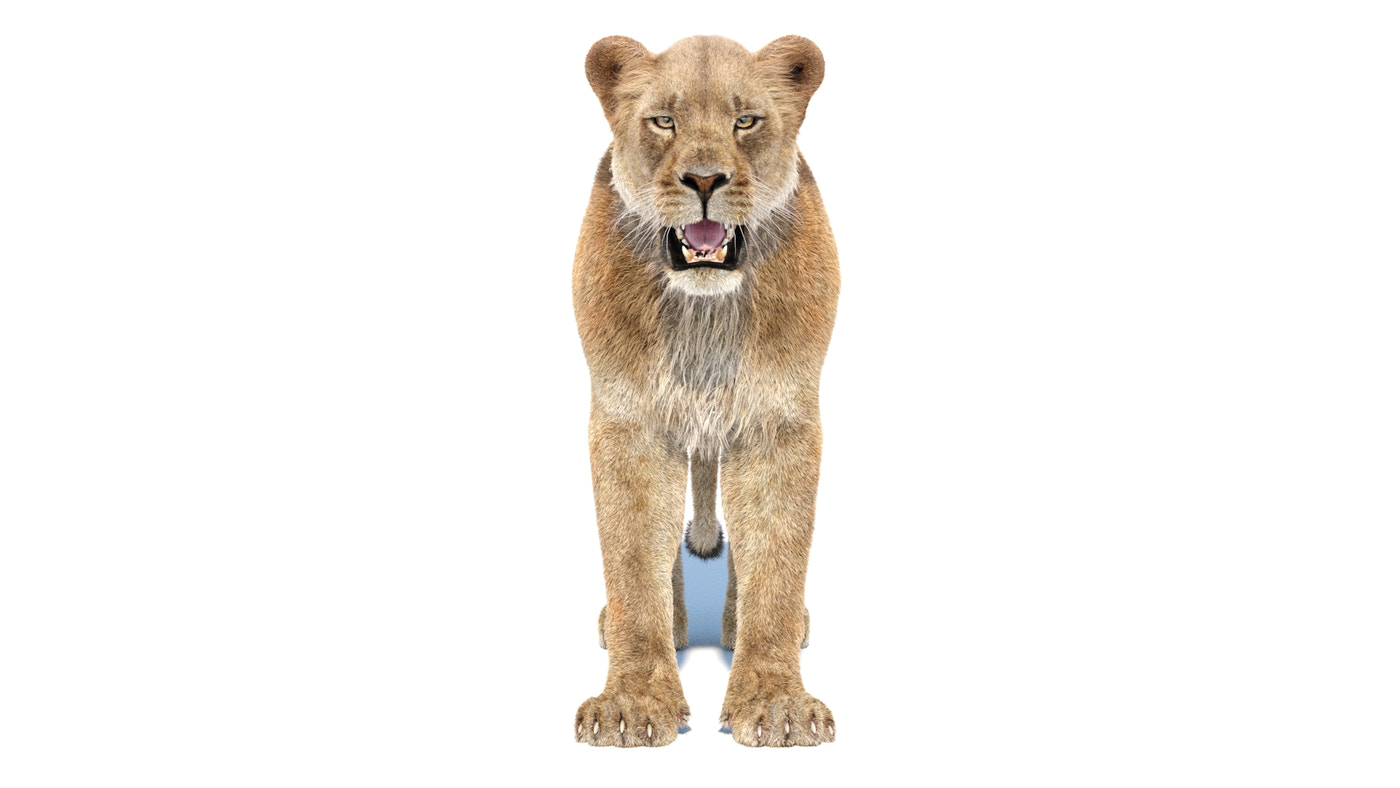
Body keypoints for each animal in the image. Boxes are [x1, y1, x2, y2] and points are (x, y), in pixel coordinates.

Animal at [572, 34, 839, 748]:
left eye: (745, 121)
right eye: (664, 121)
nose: (703, 181)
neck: (704, 311)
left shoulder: (777, 421)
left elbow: (775, 562)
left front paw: (775, 704)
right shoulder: (630, 421)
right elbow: (633, 559)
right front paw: (632, 704)